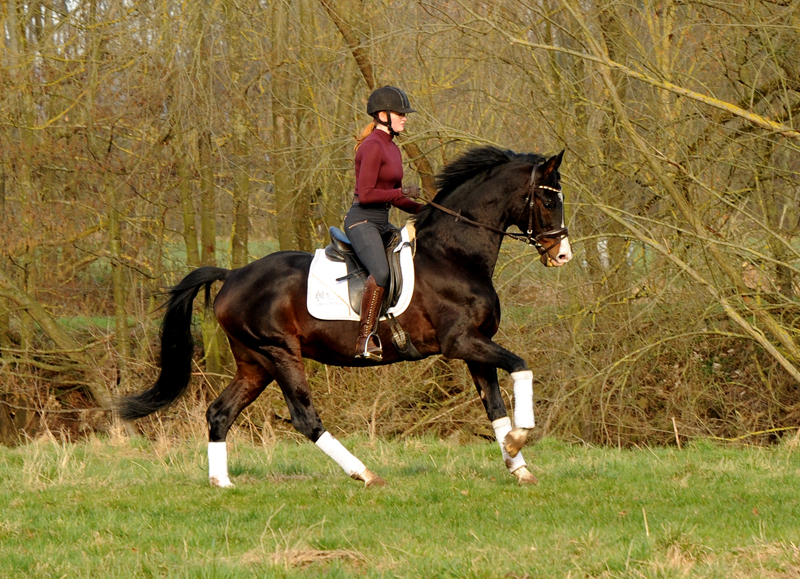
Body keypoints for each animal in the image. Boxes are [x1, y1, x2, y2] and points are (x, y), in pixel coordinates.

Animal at [119, 145, 572, 484]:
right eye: (549, 199)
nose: (562, 256)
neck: (454, 255)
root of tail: (232, 276)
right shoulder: (461, 342)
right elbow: (522, 367)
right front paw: (519, 440)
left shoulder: (476, 345)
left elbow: (495, 407)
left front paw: (518, 465)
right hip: (280, 353)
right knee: (304, 418)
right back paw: (364, 474)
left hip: (255, 362)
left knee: (220, 412)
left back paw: (222, 483)